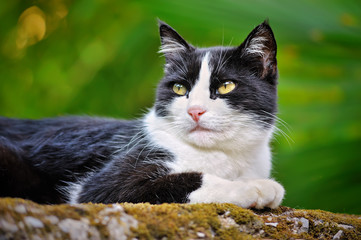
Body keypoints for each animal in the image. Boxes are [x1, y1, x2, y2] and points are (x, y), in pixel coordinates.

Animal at [0, 20, 284, 208]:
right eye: (180, 88)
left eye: (226, 86)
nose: (195, 110)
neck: (225, 157)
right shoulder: (101, 186)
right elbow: (186, 180)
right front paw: (256, 187)